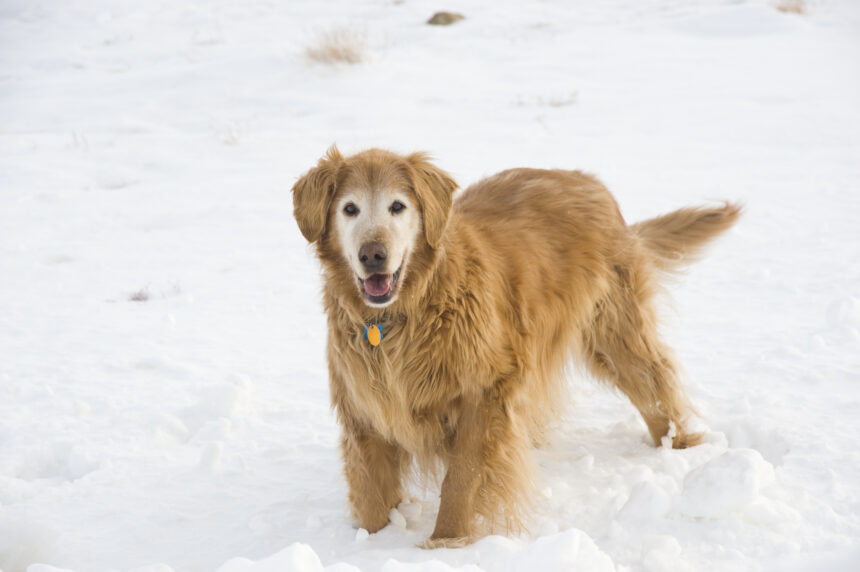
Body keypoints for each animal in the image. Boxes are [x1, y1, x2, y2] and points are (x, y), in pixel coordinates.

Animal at [292, 145, 744, 548]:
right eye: (349, 209)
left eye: (397, 207)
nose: (373, 255)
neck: (402, 315)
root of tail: (590, 181)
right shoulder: (365, 407)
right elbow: (371, 495)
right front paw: (370, 544)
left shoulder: (485, 393)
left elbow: (461, 478)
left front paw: (446, 543)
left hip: (615, 333)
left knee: (657, 387)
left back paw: (680, 451)